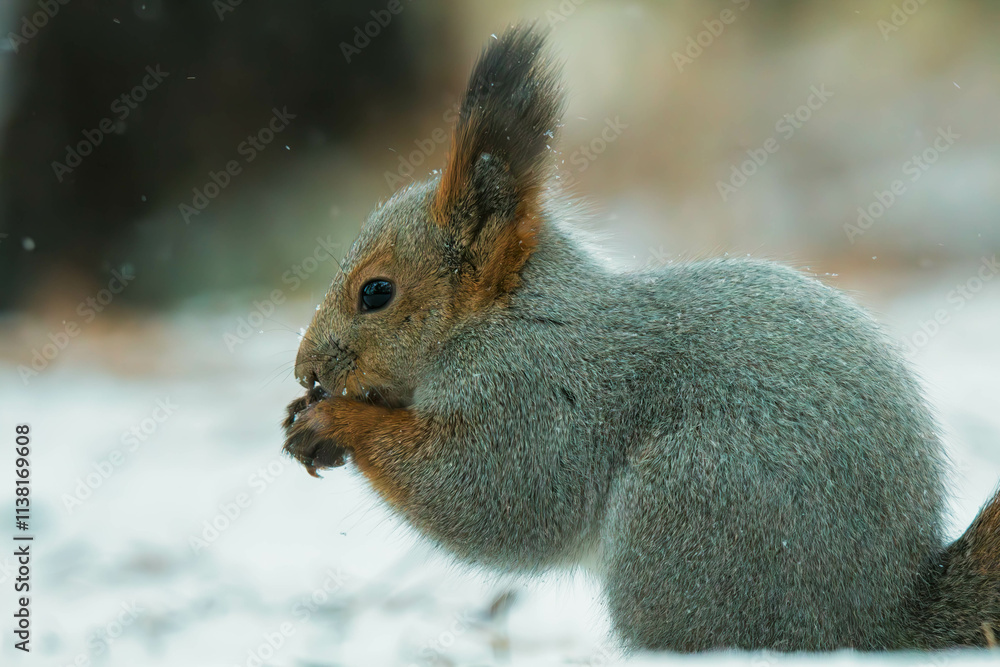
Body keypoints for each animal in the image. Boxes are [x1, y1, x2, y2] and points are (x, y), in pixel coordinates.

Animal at [283, 24, 1000, 652]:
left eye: (376, 291)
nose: (303, 368)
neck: (503, 317)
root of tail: (884, 616)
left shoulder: (537, 395)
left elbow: (490, 493)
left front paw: (335, 420)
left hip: (687, 513)